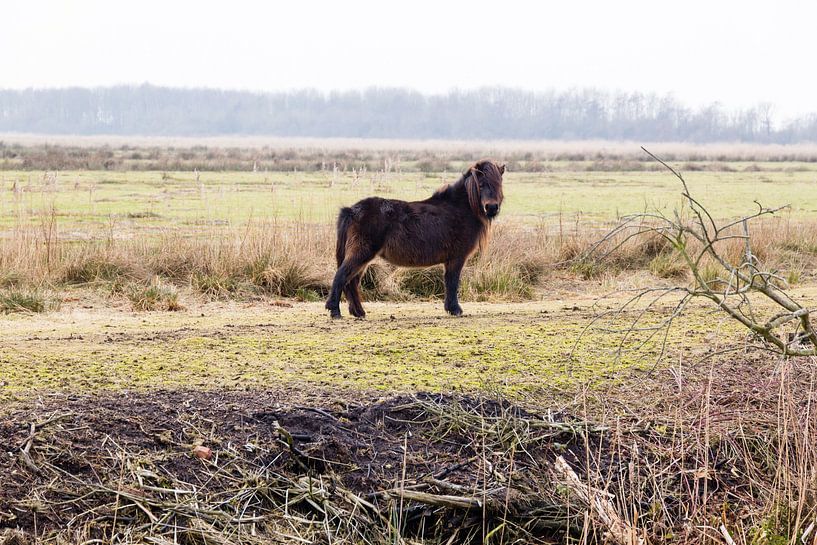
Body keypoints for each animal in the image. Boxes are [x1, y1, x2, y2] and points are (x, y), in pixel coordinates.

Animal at [326, 159, 504, 316]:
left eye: (499, 184)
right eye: (481, 185)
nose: (491, 207)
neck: (460, 208)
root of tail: (352, 210)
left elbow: (449, 282)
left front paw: (451, 308)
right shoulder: (457, 258)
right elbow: (453, 282)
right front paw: (455, 310)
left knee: (352, 282)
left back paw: (358, 312)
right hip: (361, 253)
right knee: (342, 276)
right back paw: (335, 311)